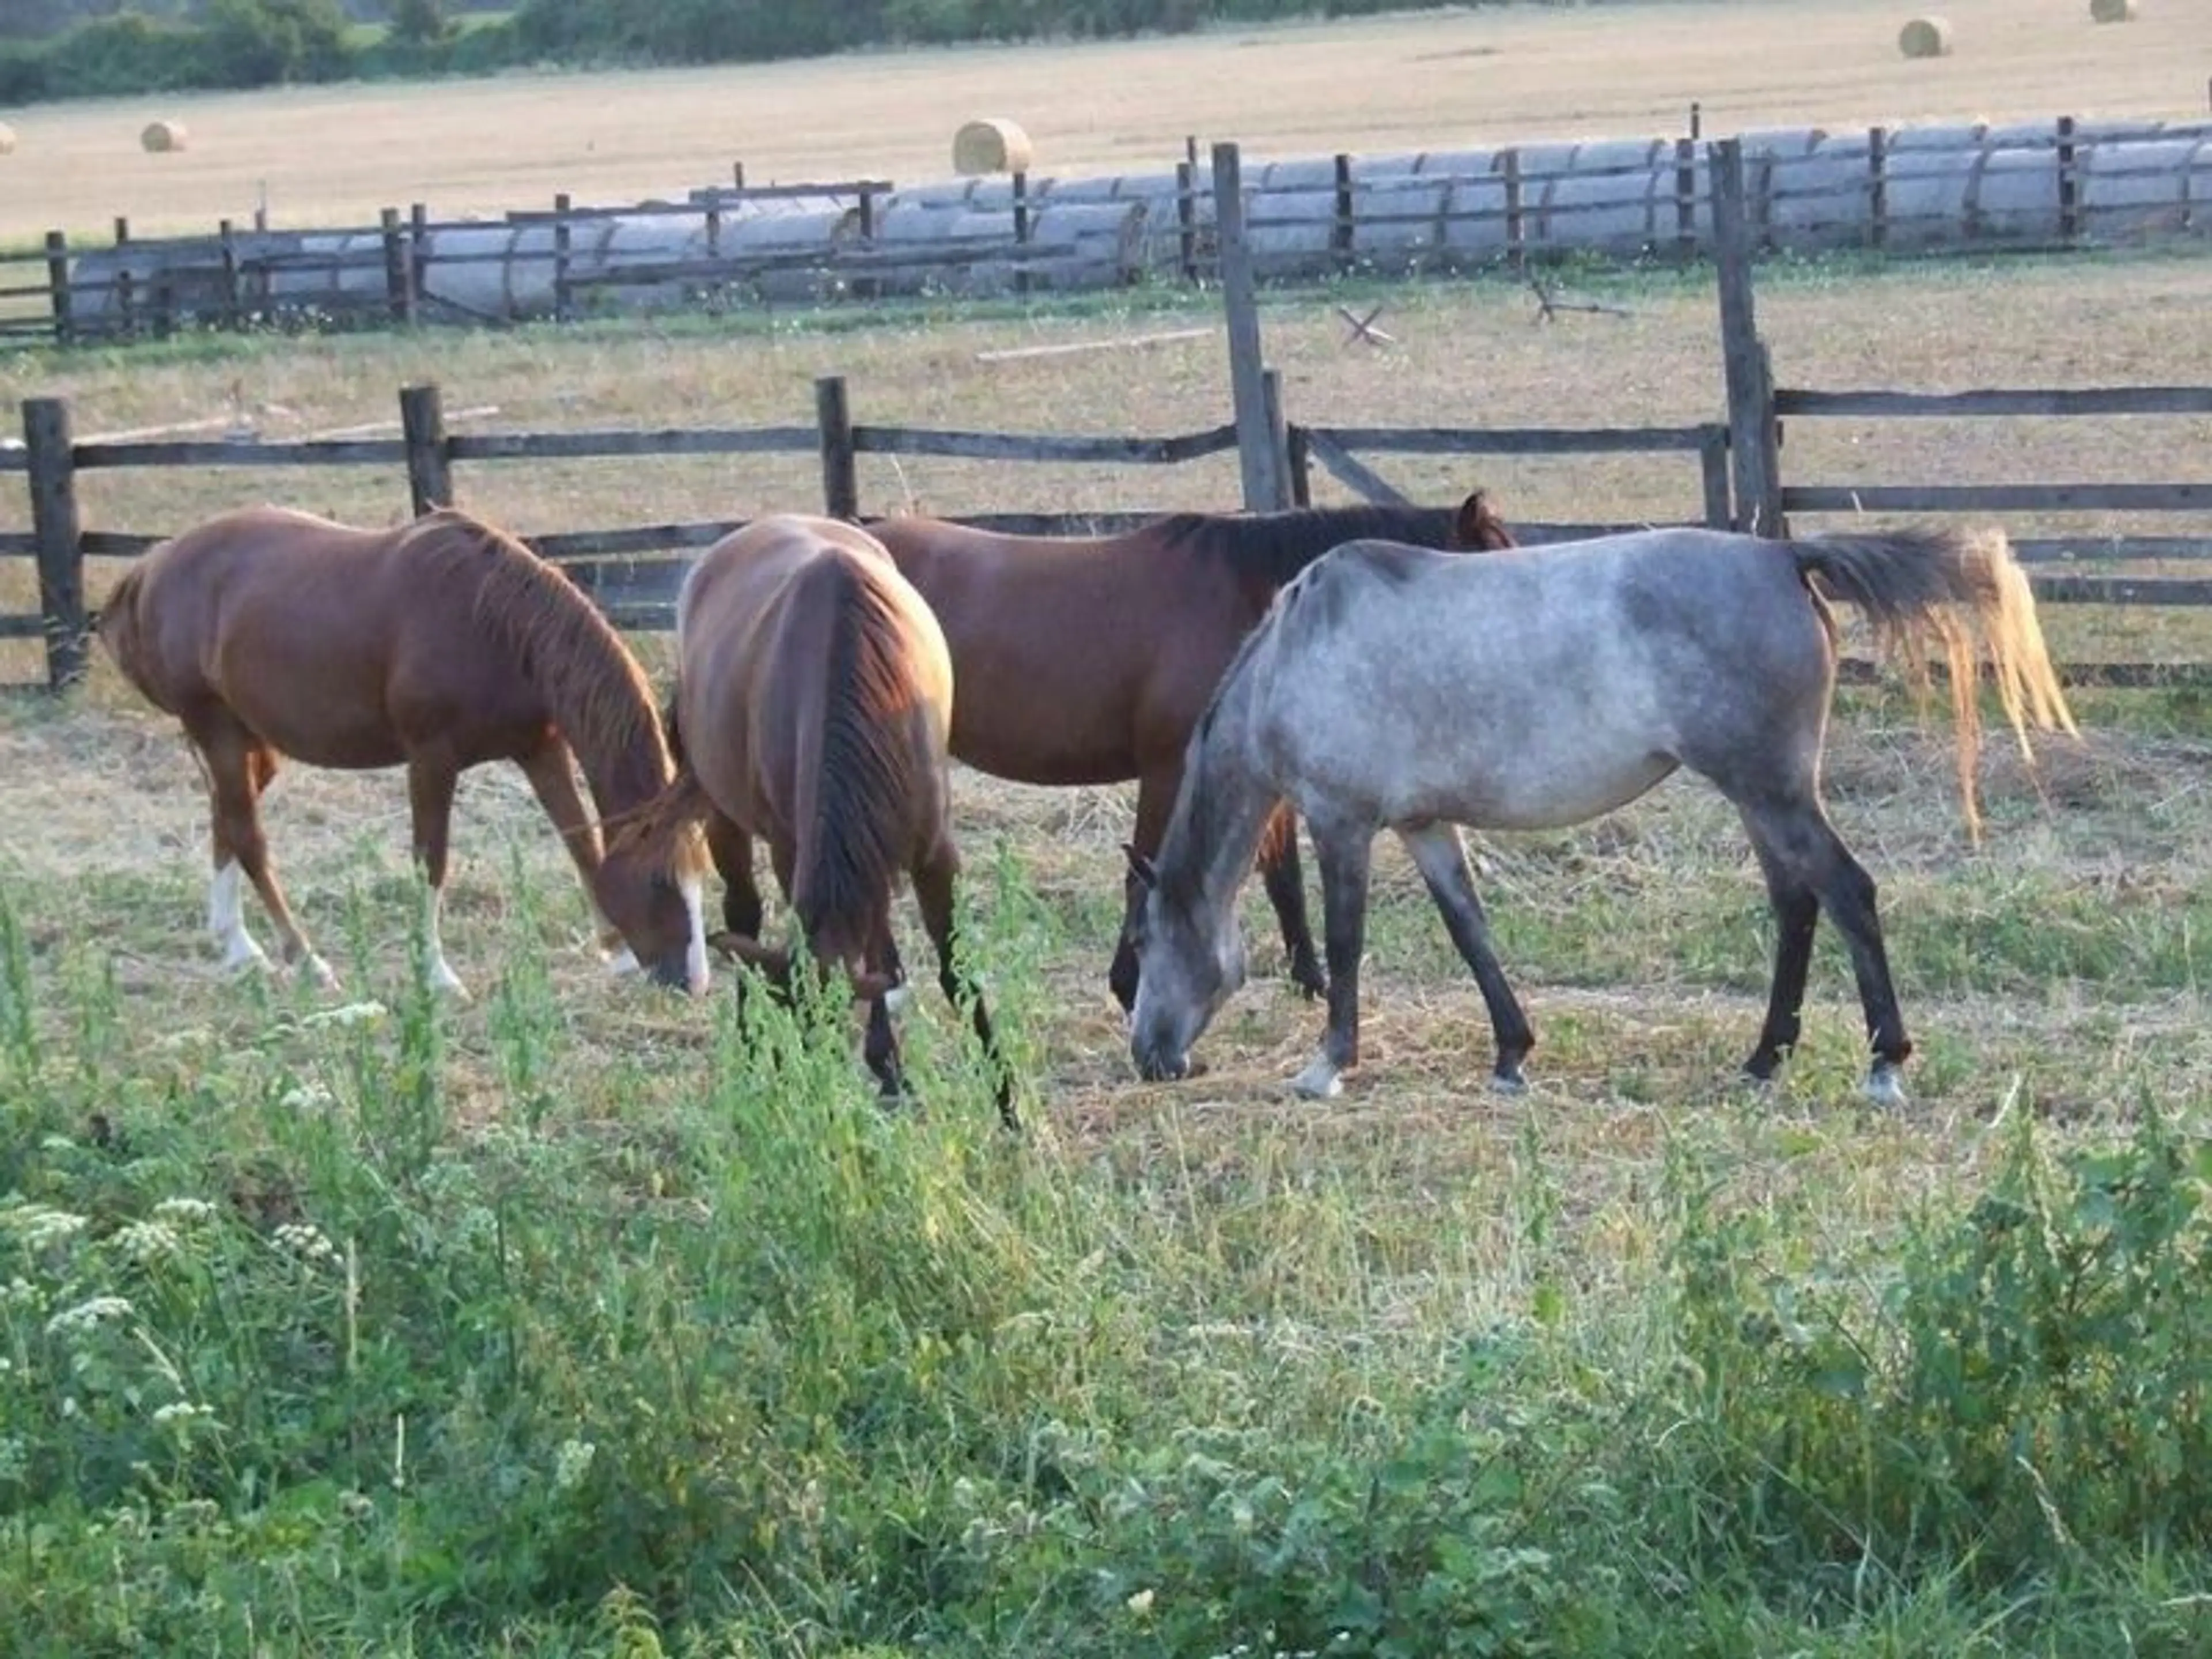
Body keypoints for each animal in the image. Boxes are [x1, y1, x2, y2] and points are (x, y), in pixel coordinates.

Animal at [90, 506, 699, 999]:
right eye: (658, 882)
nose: (691, 982)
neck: (493, 627)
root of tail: (153, 566)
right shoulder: (432, 760)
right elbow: (431, 861)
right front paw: (437, 974)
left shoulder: (540, 750)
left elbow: (582, 846)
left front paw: (616, 954)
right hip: (215, 728)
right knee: (248, 836)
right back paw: (301, 959)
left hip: (250, 745)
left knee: (225, 817)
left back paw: (237, 946)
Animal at [615, 511, 1013, 1132]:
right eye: (803, 1033)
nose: (819, 1113)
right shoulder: (791, 846)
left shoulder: (933, 850)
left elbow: (954, 970)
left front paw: (1008, 1106)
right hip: (726, 813)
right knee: (745, 916)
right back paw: (752, 1051)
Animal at [862, 493, 1521, 1013]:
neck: (1245, 597)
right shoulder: (1170, 771)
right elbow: (1147, 873)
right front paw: (1131, 985)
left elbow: (1283, 877)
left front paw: (1310, 981)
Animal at [1132, 526, 2079, 1110]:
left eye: (1142, 947)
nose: (1150, 1058)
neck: (1297, 655)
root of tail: (1784, 555)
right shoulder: (1425, 826)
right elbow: (1471, 929)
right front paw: (1512, 1054)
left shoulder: (1344, 823)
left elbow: (1346, 943)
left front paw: (1327, 1065)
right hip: (1761, 797)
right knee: (1796, 904)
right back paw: (1765, 1058)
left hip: (1769, 789)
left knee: (1847, 893)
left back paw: (1883, 1062)